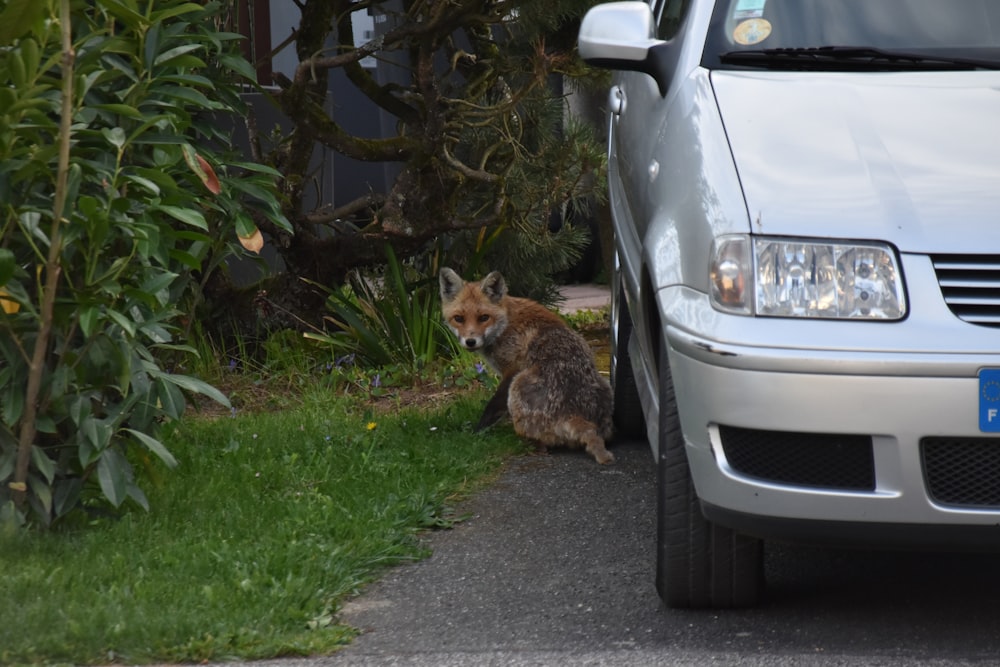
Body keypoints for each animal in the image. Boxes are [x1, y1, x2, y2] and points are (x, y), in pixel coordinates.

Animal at [440, 266, 612, 464]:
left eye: (484, 317)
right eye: (458, 318)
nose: (470, 341)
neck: (505, 324)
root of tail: (574, 413)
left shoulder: (512, 370)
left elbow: (492, 407)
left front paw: (478, 432)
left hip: (517, 386)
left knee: (542, 443)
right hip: (605, 384)